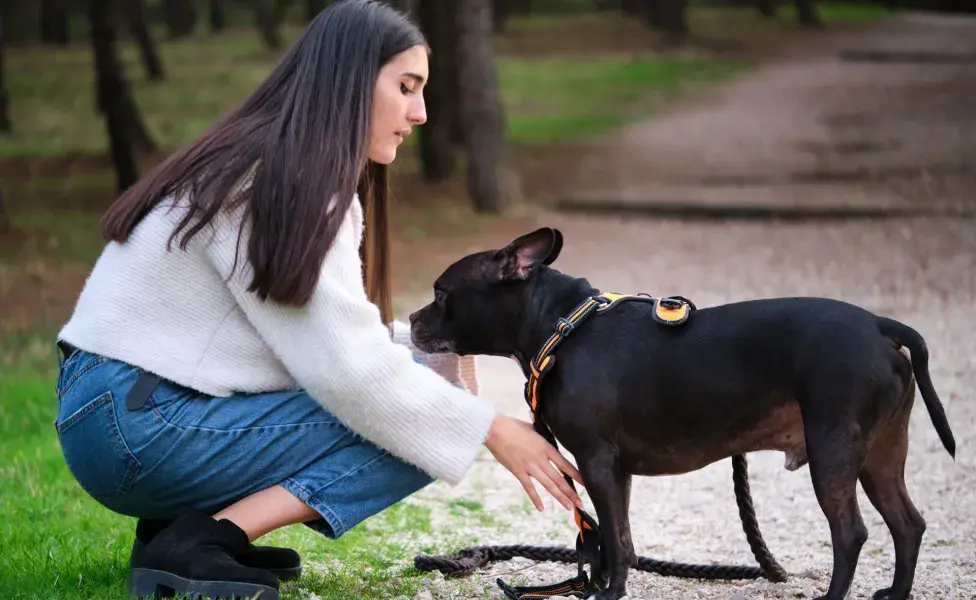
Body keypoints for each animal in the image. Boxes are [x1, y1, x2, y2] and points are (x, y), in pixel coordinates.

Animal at [408, 226, 956, 600]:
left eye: (439, 293)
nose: (411, 318)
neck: (561, 325)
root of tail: (879, 326)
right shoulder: (614, 471)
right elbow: (617, 539)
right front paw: (602, 587)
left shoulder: (596, 461)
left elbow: (611, 540)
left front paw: (606, 595)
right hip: (880, 455)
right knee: (908, 525)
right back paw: (896, 593)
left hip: (834, 450)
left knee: (851, 533)